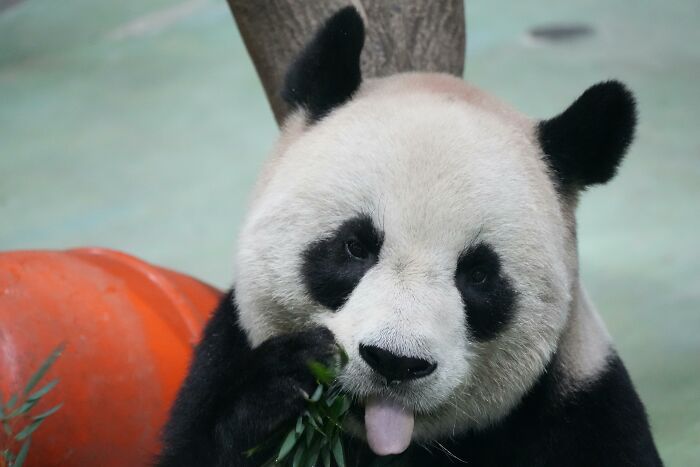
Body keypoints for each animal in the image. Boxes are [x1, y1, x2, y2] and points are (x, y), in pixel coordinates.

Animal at [158, 7, 662, 467]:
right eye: (355, 246)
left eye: (478, 274)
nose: (395, 361)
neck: (390, 441)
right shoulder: (225, 354)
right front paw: (283, 389)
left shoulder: (583, 405)